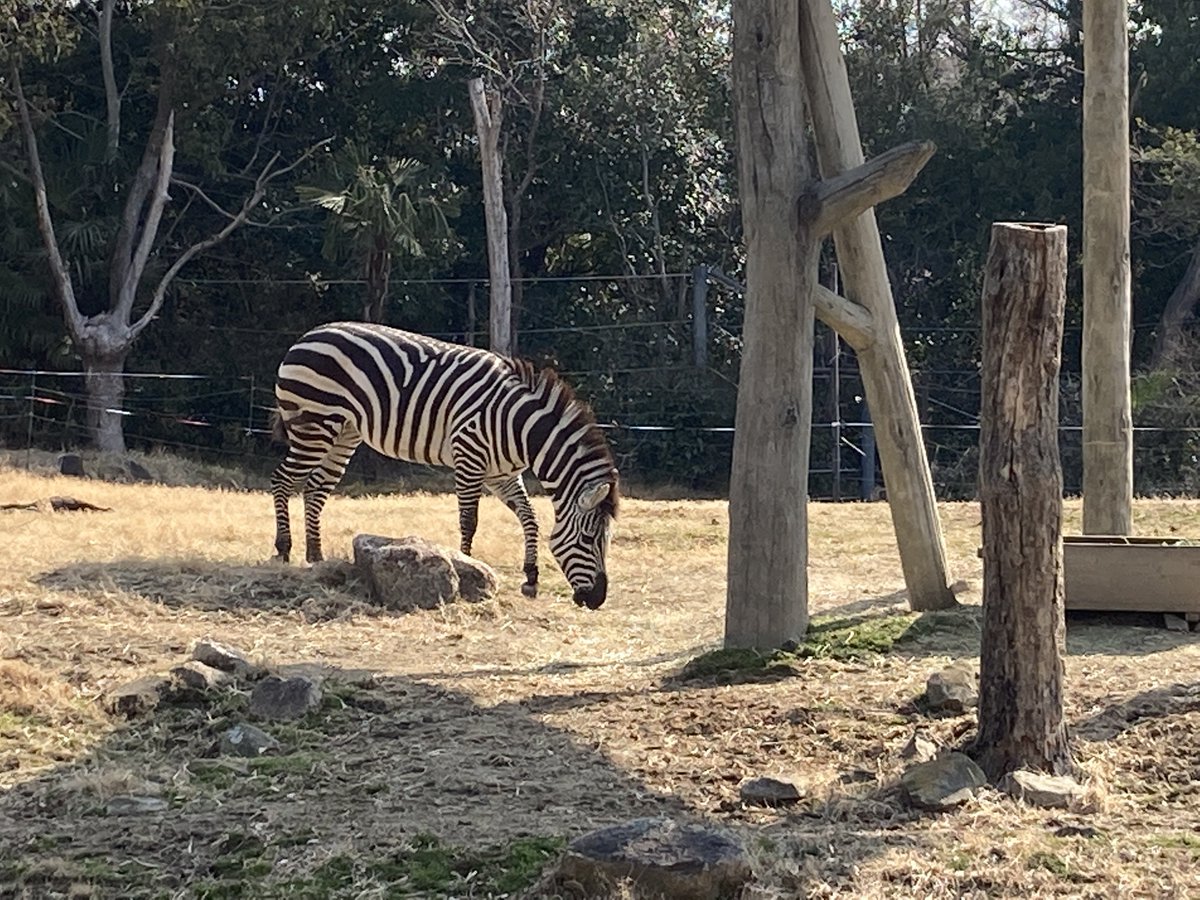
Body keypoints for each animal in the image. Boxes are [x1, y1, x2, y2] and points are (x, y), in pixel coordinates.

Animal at [265, 321, 619, 609]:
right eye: (589, 540)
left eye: (607, 539)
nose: (598, 599)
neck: (521, 428)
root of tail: (307, 337)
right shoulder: (469, 459)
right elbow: (469, 521)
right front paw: (470, 569)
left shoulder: (502, 475)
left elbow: (530, 518)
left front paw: (531, 578)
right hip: (316, 425)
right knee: (282, 480)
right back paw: (283, 549)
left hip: (344, 432)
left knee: (315, 488)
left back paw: (315, 556)